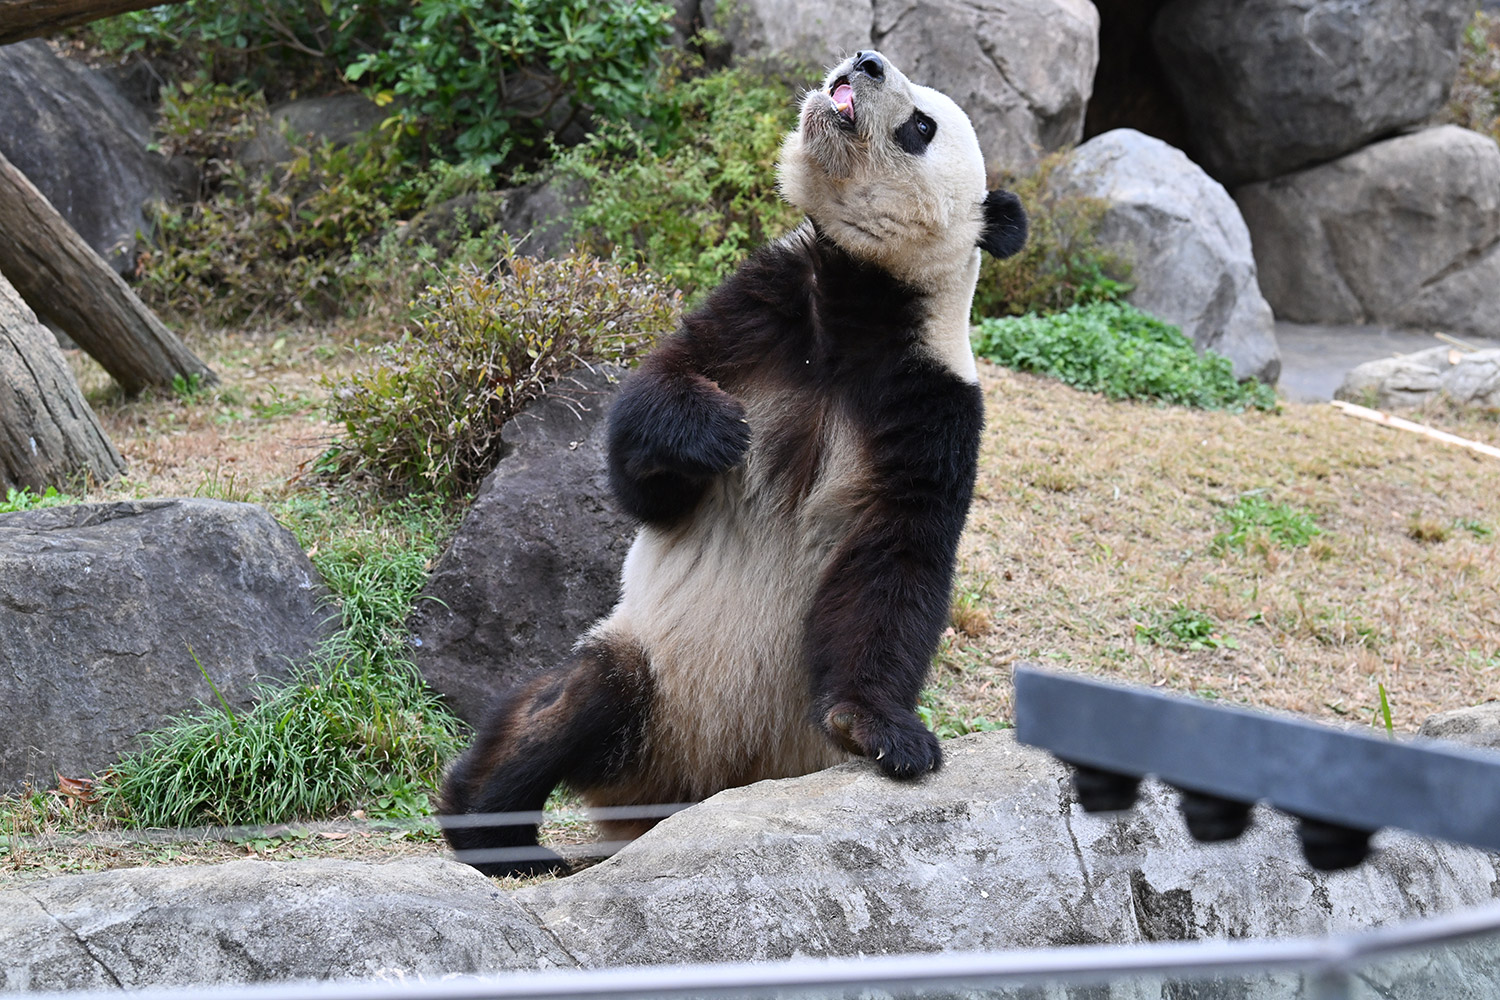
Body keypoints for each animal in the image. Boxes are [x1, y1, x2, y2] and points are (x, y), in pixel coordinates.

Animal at [440, 49, 1028, 877]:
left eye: (921, 126)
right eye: (900, 89)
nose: (865, 61)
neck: (863, 296)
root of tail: (683, 795)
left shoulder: (931, 405)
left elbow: (896, 555)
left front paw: (883, 731)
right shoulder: (763, 310)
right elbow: (648, 427)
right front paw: (711, 431)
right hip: (650, 677)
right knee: (565, 705)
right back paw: (497, 834)